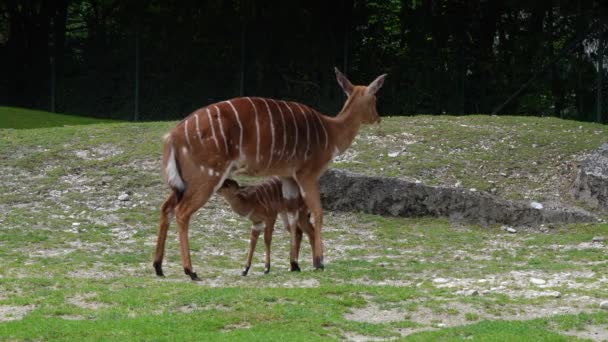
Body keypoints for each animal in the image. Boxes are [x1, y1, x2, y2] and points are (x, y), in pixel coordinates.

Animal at [154, 67, 388, 280]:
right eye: (375, 98)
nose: (378, 118)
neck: (331, 133)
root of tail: (172, 136)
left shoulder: (288, 177)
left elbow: (292, 219)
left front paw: (294, 264)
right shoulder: (307, 174)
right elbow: (318, 213)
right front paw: (318, 263)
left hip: (184, 182)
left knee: (166, 207)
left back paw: (158, 267)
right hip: (207, 177)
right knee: (182, 212)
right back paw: (191, 271)